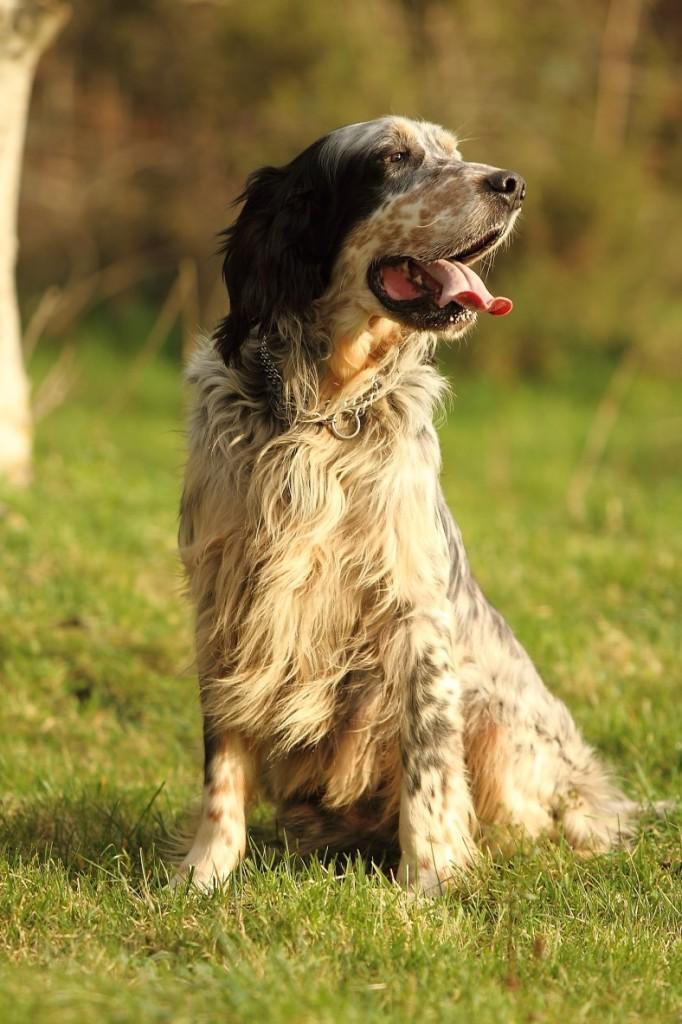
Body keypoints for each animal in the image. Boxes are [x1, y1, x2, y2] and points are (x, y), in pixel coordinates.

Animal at [176, 116, 630, 892]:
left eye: (451, 152)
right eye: (393, 157)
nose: (512, 185)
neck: (320, 413)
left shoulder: (413, 612)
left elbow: (430, 765)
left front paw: (431, 881)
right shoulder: (226, 602)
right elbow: (222, 767)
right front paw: (205, 873)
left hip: (498, 717)